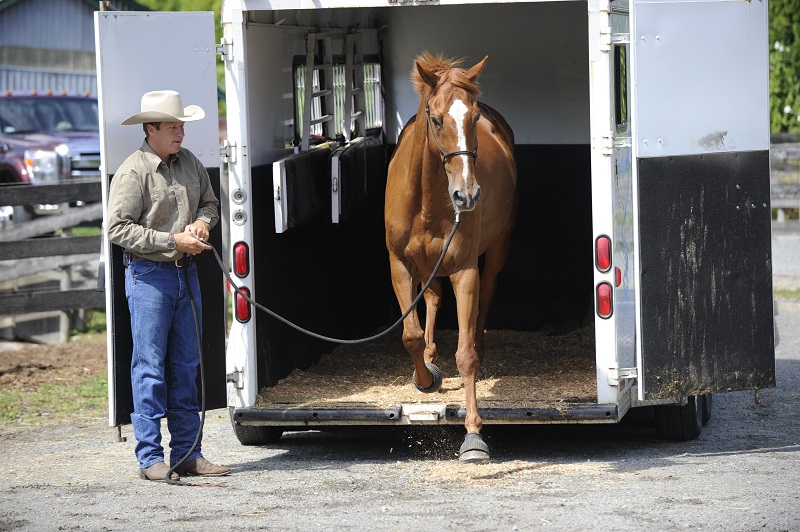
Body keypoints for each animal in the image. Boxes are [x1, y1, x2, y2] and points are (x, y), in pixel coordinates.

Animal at [384, 52, 518, 462]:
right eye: (436, 118)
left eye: (473, 118)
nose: (467, 195)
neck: (427, 200)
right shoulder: (399, 265)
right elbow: (411, 335)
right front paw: (426, 378)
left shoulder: (464, 270)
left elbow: (465, 355)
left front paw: (473, 435)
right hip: (426, 266)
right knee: (431, 298)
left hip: (497, 250)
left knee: (484, 298)